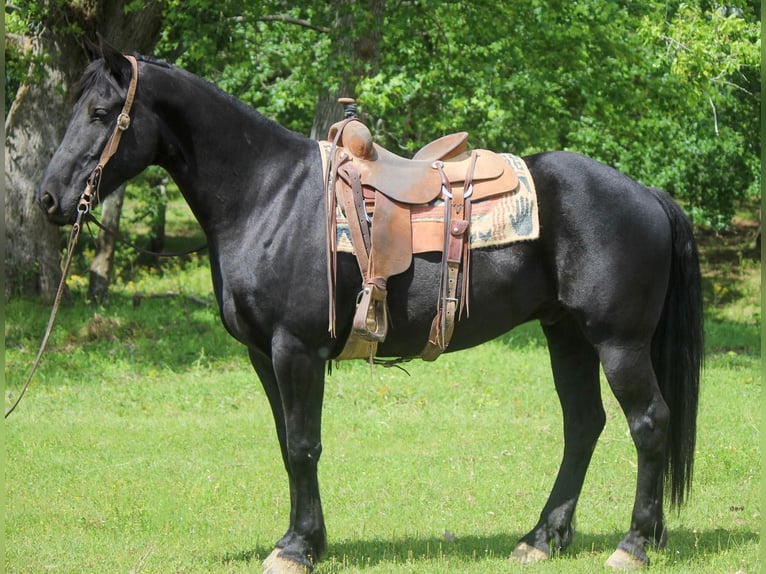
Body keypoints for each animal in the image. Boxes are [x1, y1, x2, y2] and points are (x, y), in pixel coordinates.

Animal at [39, 42, 704, 572]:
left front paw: (296, 550)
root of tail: (645, 192)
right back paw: (544, 537)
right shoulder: (263, 355)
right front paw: (309, 540)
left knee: (649, 424)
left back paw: (634, 544)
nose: (48, 198)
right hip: (566, 335)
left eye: (101, 114)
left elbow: (304, 444)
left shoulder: (296, 350)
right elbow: (287, 444)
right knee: (583, 425)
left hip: (618, 343)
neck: (269, 196)